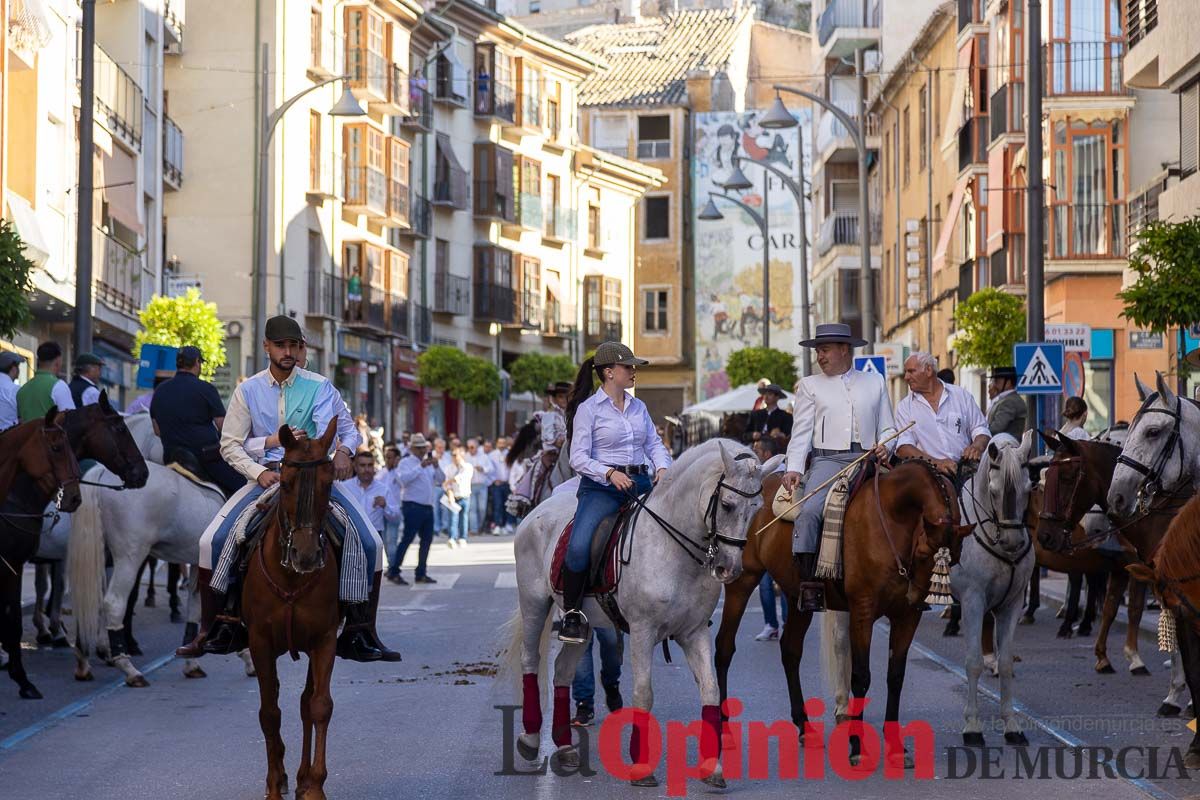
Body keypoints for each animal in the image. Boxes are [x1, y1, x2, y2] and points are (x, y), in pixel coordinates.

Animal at [240, 419, 343, 800]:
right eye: (284, 483)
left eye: (330, 482)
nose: (307, 555)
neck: (290, 575)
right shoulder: (259, 642)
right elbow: (269, 713)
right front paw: (273, 786)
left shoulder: (325, 639)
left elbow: (319, 706)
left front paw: (314, 786)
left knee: (304, 703)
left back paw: (300, 778)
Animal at [504, 441, 777, 791]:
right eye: (727, 505)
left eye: (756, 508)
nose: (730, 569)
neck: (673, 548)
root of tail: (537, 512)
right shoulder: (643, 630)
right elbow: (644, 694)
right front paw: (641, 766)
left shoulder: (694, 632)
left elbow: (711, 691)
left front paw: (712, 767)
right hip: (534, 603)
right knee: (530, 660)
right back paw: (530, 738)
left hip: (581, 623)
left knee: (563, 670)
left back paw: (564, 747)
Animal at [715, 455, 969, 762]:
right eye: (922, 553)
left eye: (953, 559)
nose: (918, 598)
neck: (893, 518)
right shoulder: (862, 610)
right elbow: (860, 676)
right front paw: (857, 746)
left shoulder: (907, 617)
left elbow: (895, 676)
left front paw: (896, 747)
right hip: (741, 580)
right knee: (724, 647)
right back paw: (723, 731)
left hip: (798, 597)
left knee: (790, 651)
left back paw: (804, 727)